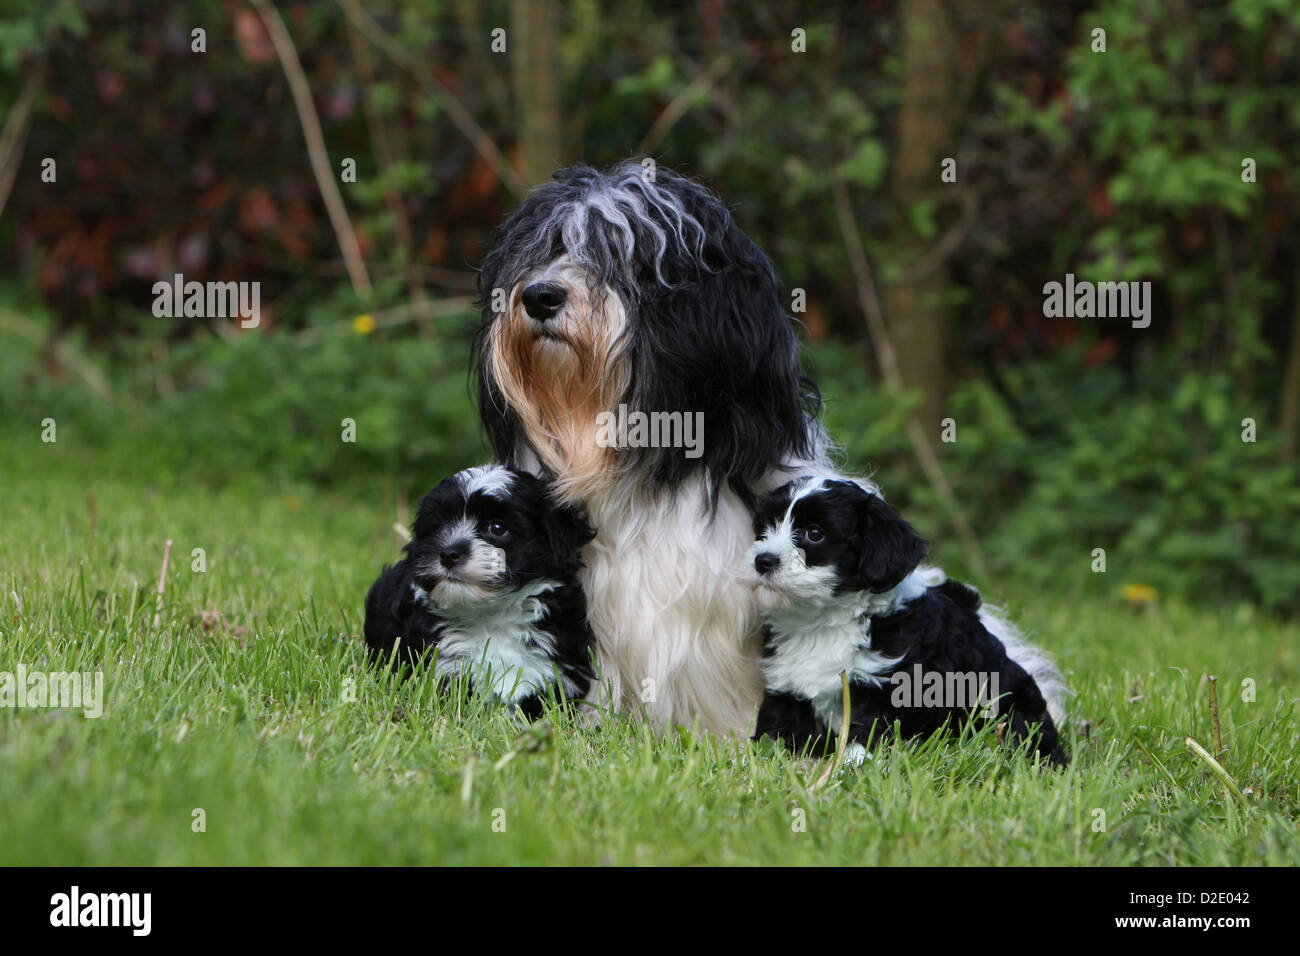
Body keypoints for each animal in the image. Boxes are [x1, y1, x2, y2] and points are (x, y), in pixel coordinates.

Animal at [366, 463, 598, 717]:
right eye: (440, 526)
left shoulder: (554, 670)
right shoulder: (445, 664)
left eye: (496, 527)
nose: (448, 553)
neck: (492, 615)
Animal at [748, 478, 1071, 770]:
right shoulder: (787, 685)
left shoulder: (890, 687)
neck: (823, 620)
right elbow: (776, 730)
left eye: (814, 534)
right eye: (764, 530)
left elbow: (868, 731)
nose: (763, 561)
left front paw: (852, 766)